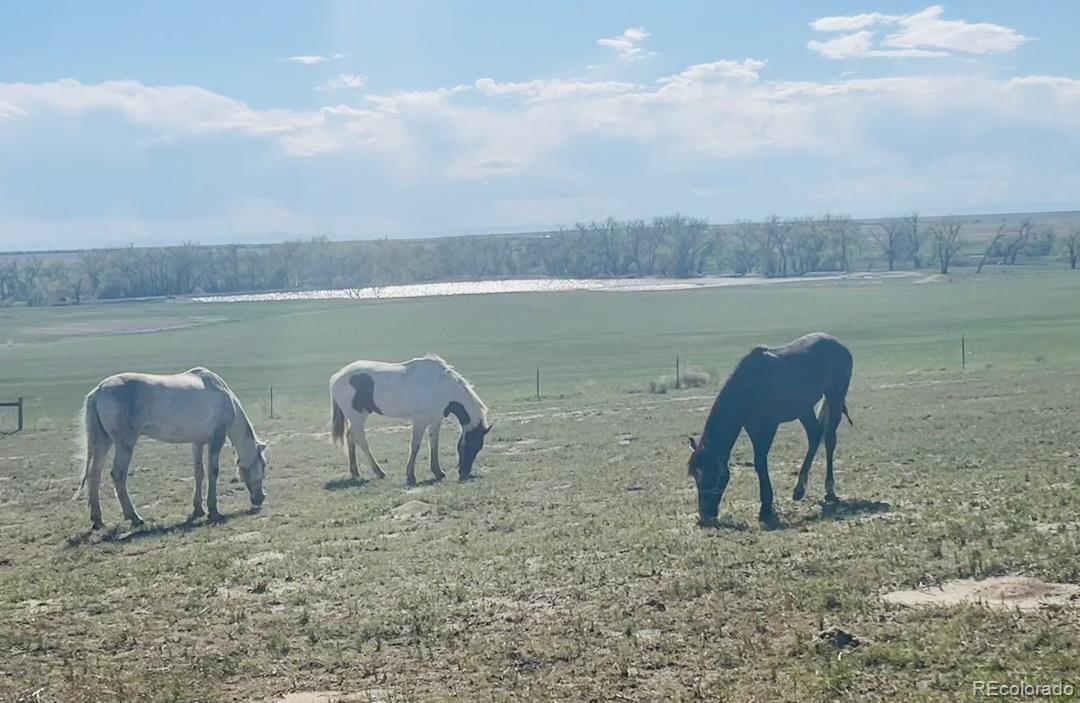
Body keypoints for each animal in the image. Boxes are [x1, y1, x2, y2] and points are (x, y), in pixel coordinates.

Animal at [76, 369, 267, 526]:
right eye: (264, 465)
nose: (261, 498)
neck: (224, 396)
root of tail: (100, 390)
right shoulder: (216, 440)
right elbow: (213, 472)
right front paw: (214, 511)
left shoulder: (197, 442)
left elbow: (199, 473)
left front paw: (198, 509)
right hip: (124, 444)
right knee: (118, 475)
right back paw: (134, 517)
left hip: (103, 441)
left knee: (94, 475)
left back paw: (97, 520)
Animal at [330, 354, 492, 485]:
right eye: (470, 444)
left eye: (479, 446)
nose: (464, 473)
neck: (440, 386)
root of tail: (337, 376)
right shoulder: (420, 420)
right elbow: (415, 446)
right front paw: (411, 476)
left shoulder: (435, 420)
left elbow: (434, 444)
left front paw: (438, 472)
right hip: (357, 416)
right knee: (361, 440)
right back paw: (379, 472)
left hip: (356, 417)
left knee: (350, 438)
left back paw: (355, 472)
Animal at [686, 332, 855, 524]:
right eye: (695, 476)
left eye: (712, 474)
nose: (705, 515)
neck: (748, 388)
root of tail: (839, 345)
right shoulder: (752, 427)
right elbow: (759, 462)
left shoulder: (768, 427)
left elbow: (760, 462)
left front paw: (766, 508)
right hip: (803, 409)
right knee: (815, 435)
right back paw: (799, 489)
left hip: (834, 397)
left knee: (829, 440)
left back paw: (829, 489)